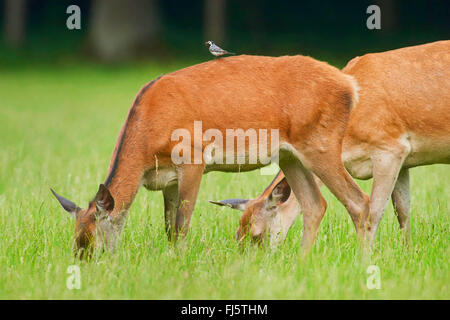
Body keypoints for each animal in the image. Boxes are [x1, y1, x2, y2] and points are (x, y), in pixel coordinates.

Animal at [51, 53, 370, 258]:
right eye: (75, 244)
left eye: (95, 245)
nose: (86, 265)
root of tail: (350, 87)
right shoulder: (167, 180)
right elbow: (168, 226)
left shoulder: (193, 157)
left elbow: (181, 224)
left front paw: (179, 263)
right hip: (290, 155)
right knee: (315, 204)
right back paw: (303, 261)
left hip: (322, 143)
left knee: (358, 201)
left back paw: (362, 261)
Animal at [211, 40, 450, 248]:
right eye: (237, 233)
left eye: (257, 234)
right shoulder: (404, 161)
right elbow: (403, 211)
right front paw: (407, 252)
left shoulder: (390, 148)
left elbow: (375, 211)